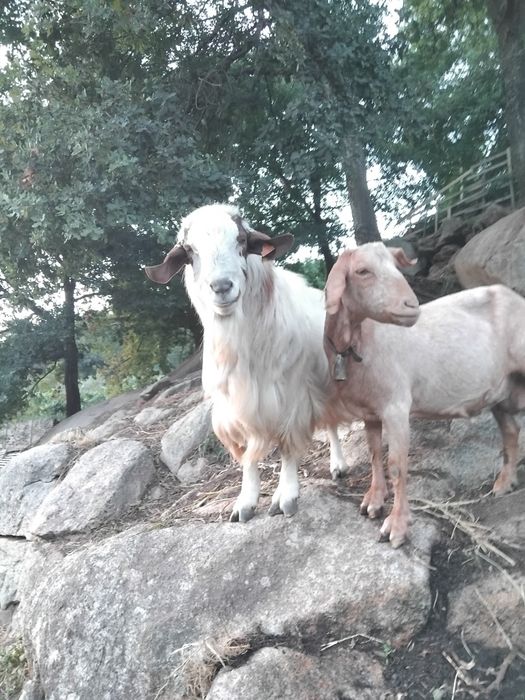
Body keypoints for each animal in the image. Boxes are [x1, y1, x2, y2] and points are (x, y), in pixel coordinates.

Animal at [144, 203, 348, 521]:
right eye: (190, 251)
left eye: (240, 240)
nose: (221, 286)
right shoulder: (235, 408)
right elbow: (248, 456)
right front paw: (246, 502)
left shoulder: (291, 398)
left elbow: (288, 446)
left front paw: (287, 495)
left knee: (333, 424)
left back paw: (338, 464)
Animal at [324, 244, 525, 547]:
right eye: (362, 271)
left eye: (396, 267)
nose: (411, 305)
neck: (362, 341)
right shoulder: (370, 410)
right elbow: (374, 453)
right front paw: (373, 500)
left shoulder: (396, 406)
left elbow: (396, 465)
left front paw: (396, 526)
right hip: (500, 389)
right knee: (511, 430)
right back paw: (505, 482)